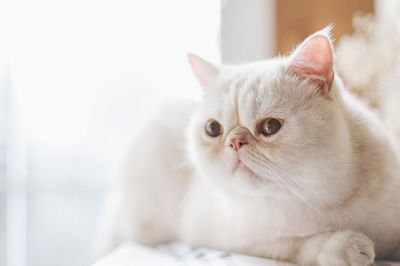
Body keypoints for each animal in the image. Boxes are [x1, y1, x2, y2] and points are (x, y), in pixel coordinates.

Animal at [98, 27, 400, 266]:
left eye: (270, 127)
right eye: (213, 129)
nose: (235, 141)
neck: (323, 197)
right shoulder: (224, 238)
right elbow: (296, 244)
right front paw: (347, 247)